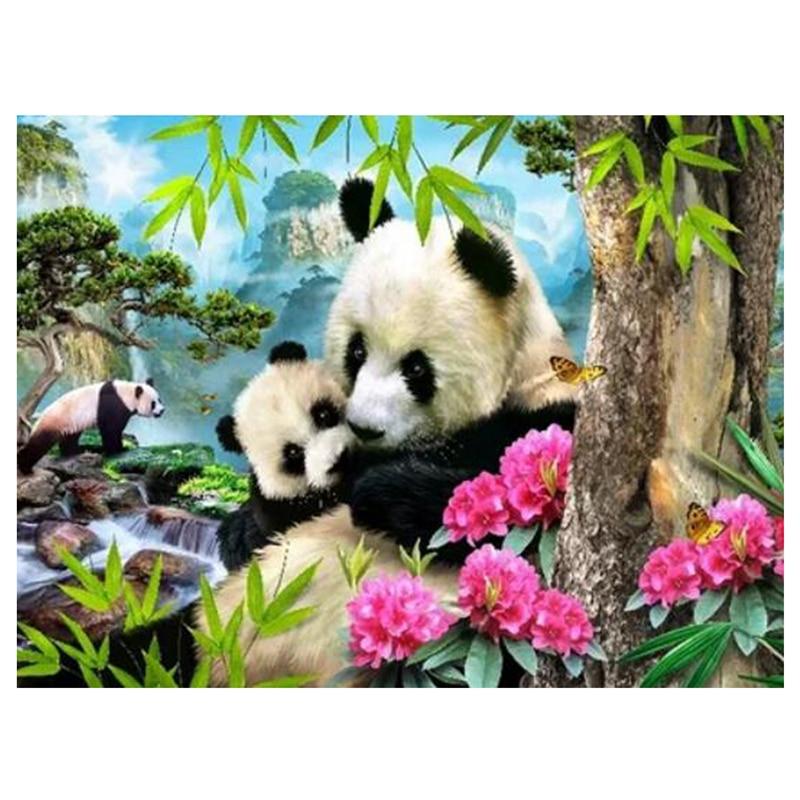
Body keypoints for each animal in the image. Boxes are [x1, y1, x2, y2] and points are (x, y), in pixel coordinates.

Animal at [17, 379, 165, 474]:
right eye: (153, 403)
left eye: (160, 399)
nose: (162, 410)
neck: (126, 393)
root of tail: (40, 416)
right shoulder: (113, 404)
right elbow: (111, 429)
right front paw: (118, 449)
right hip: (56, 420)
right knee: (40, 443)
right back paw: (24, 467)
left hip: (70, 423)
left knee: (70, 438)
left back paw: (76, 451)